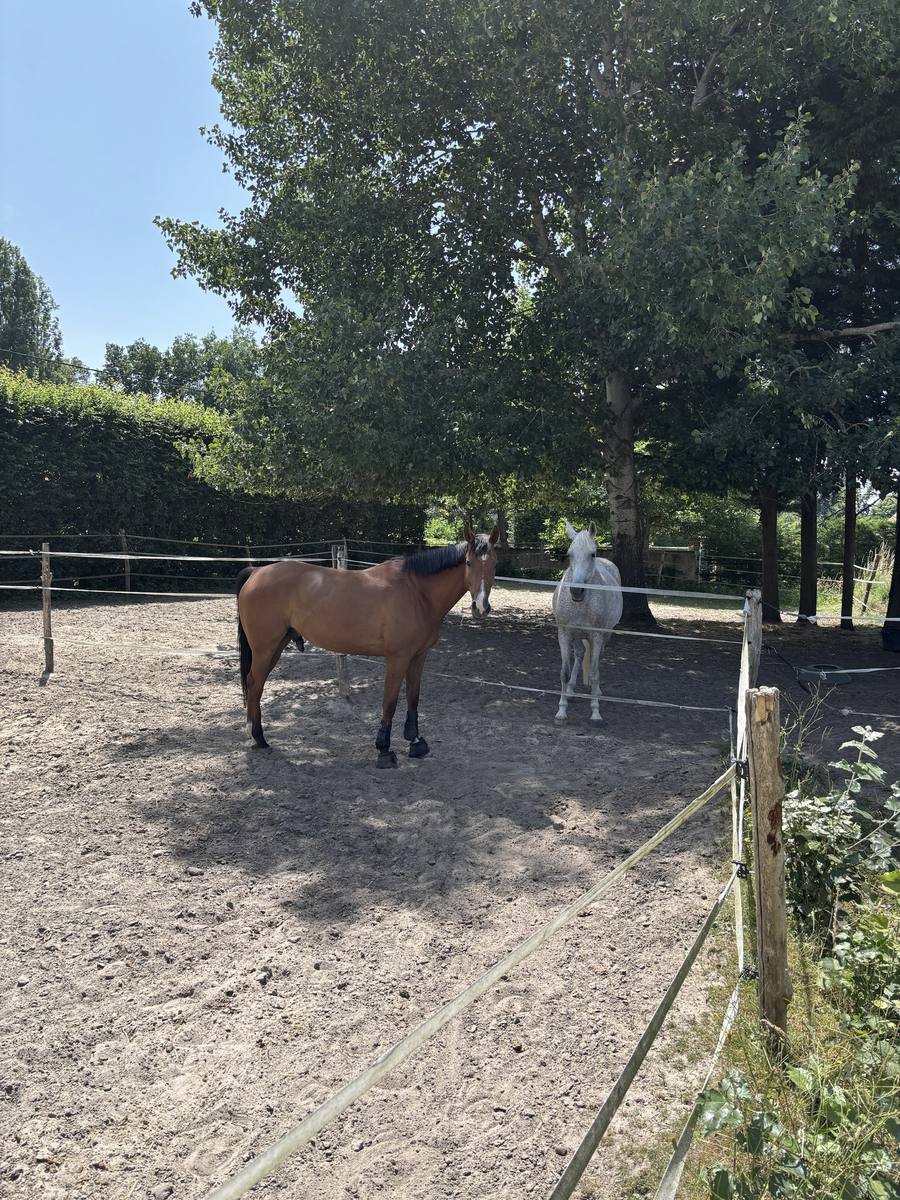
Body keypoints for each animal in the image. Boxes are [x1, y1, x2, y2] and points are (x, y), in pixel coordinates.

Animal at [235, 526, 499, 767]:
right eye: (468, 563)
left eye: (494, 565)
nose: (480, 607)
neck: (416, 592)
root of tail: (257, 571)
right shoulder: (397, 658)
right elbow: (390, 702)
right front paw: (384, 750)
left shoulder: (419, 656)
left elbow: (413, 697)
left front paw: (416, 743)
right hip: (264, 648)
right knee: (255, 684)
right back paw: (257, 737)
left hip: (276, 646)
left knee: (255, 684)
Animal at [552, 521, 623, 722]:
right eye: (569, 554)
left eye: (592, 554)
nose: (576, 591)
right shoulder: (564, 634)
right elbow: (564, 672)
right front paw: (561, 710)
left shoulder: (597, 636)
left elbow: (594, 673)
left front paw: (595, 712)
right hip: (577, 635)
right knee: (580, 654)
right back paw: (570, 691)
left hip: (606, 635)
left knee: (596, 660)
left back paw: (596, 692)